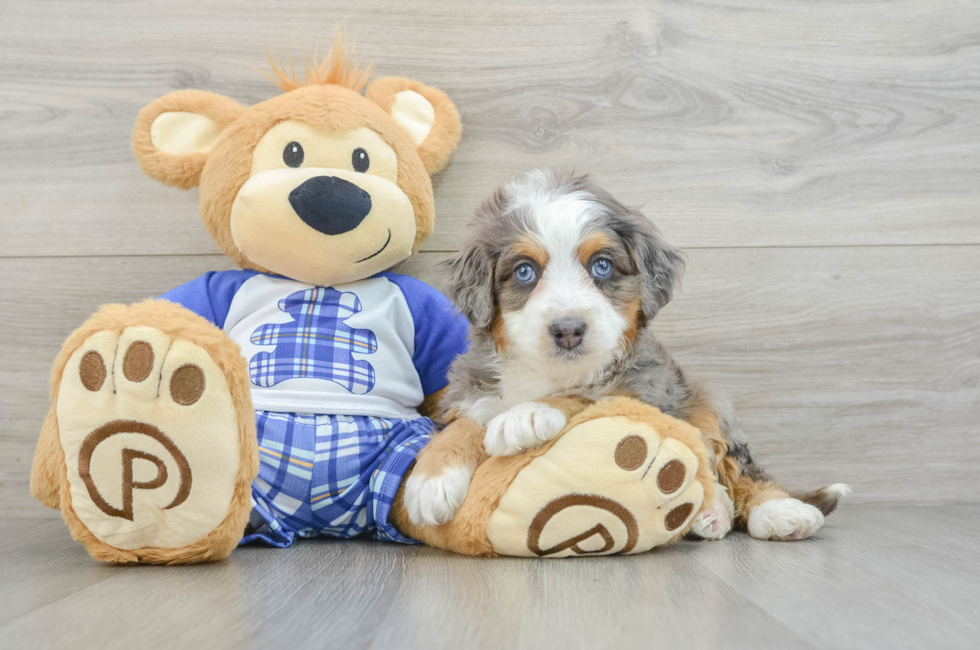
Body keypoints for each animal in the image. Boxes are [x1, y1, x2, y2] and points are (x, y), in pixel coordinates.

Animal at [406, 167, 848, 536]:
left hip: (707, 402)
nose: (568, 330)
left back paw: (777, 511)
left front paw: (526, 415)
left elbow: (585, 397)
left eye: (601, 266)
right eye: (524, 272)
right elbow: (463, 424)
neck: (550, 372)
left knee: (737, 467)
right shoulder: (468, 388)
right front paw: (430, 481)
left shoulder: (646, 392)